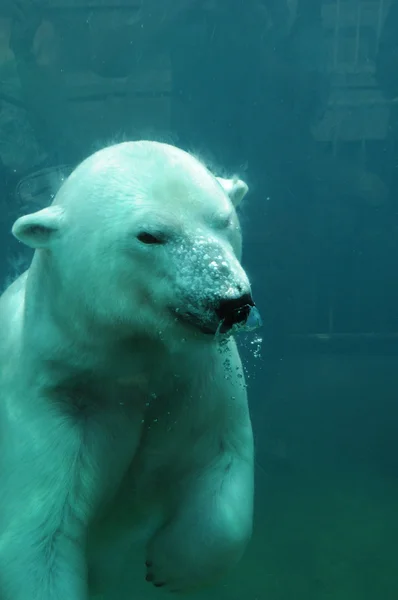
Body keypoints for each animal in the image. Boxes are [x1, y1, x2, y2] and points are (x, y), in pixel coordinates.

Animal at [0, 142, 260, 600]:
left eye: (224, 219)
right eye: (149, 235)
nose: (231, 301)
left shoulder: (197, 381)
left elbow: (220, 463)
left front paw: (170, 565)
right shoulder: (54, 404)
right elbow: (38, 539)